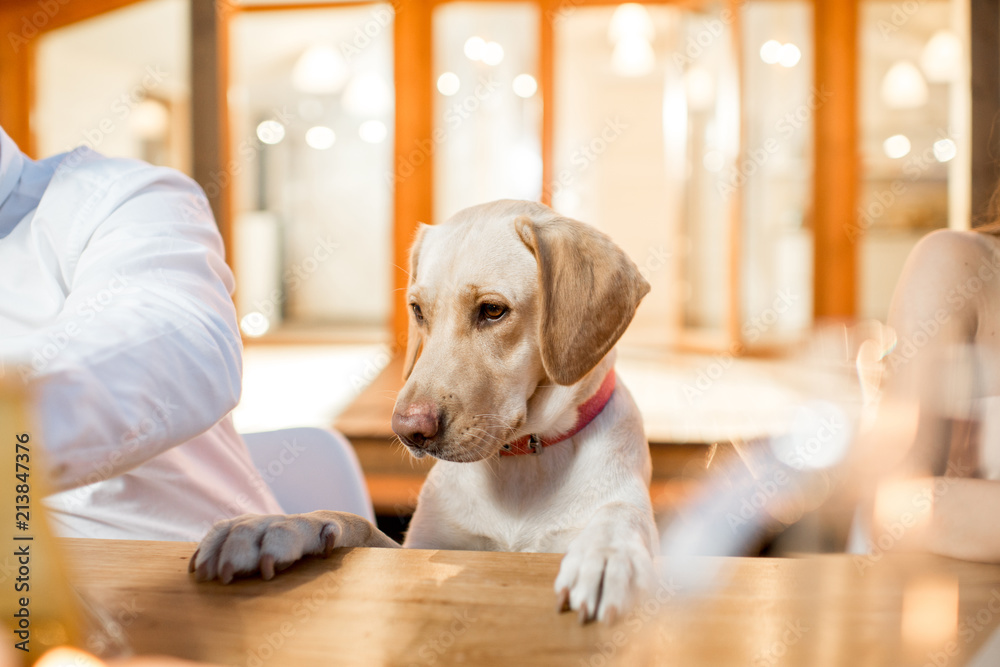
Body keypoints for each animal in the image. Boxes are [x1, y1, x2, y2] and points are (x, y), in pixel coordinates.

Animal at [191, 200, 660, 628]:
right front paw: (274, 526)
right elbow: (352, 521)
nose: (407, 431)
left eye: (493, 310)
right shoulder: (414, 549)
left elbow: (620, 514)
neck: (523, 464)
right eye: (417, 310)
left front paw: (608, 551)